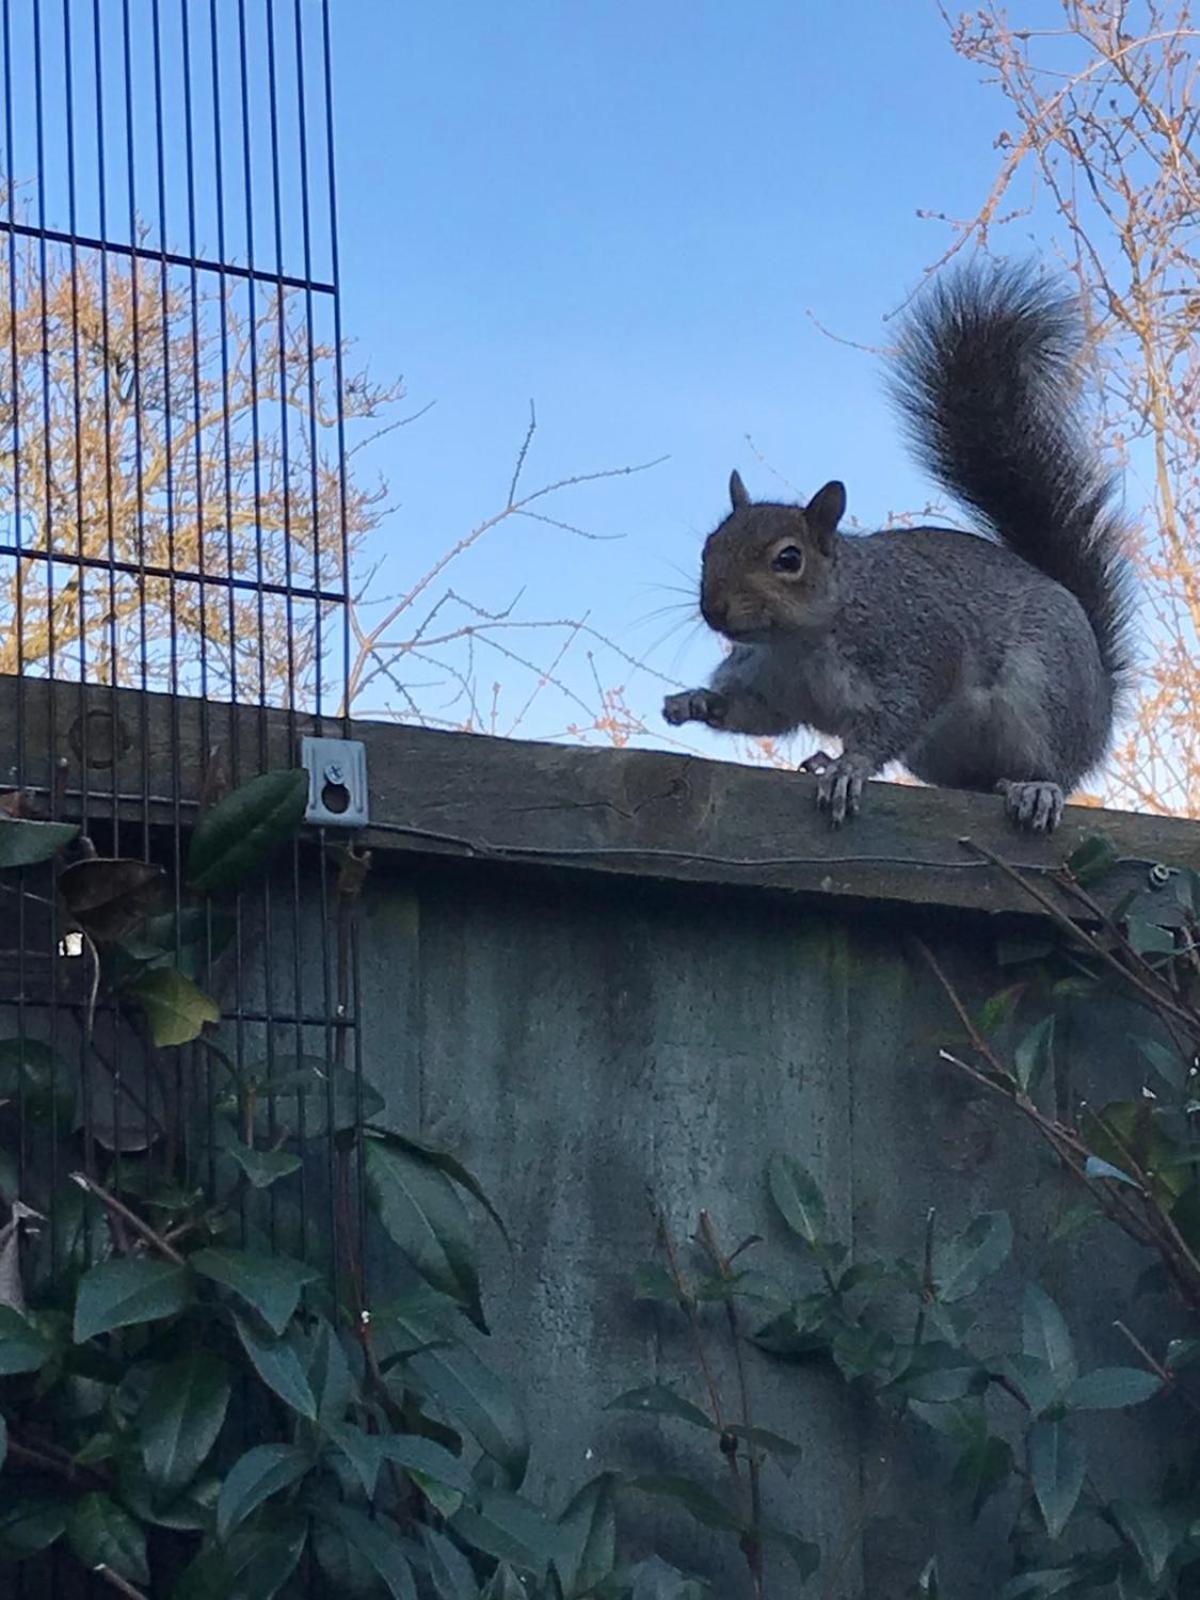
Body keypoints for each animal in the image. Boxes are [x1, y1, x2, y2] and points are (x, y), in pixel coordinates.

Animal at [668, 256, 1139, 832]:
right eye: (708, 547)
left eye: (789, 559)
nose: (714, 609)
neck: (800, 640)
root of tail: (1102, 701)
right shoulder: (772, 682)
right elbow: (758, 714)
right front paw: (696, 701)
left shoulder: (913, 650)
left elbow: (898, 716)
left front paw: (849, 768)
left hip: (1049, 693)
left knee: (1057, 768)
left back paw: (1036, 788)